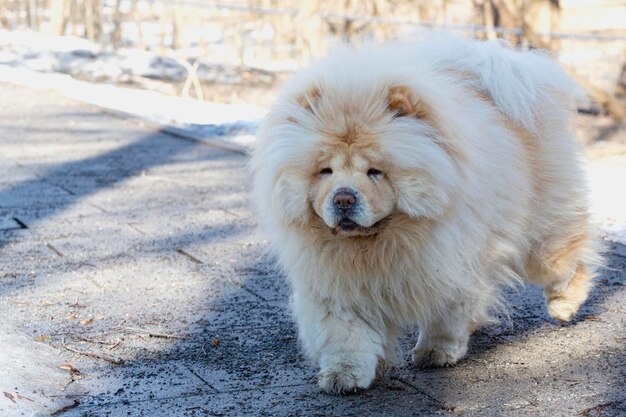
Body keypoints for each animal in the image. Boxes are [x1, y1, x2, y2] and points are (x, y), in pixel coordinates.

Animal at [247, 35, 596, 394]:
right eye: (325, 171)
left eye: (375, 171)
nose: (343, 198)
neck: (376, 245)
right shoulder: (335, 283)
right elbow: (346, 334)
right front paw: (344, 375)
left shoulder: (454, 265)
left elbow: (447, 314)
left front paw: (436, 352)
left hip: (542, 230)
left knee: (566, 257)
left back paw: (564, 304)